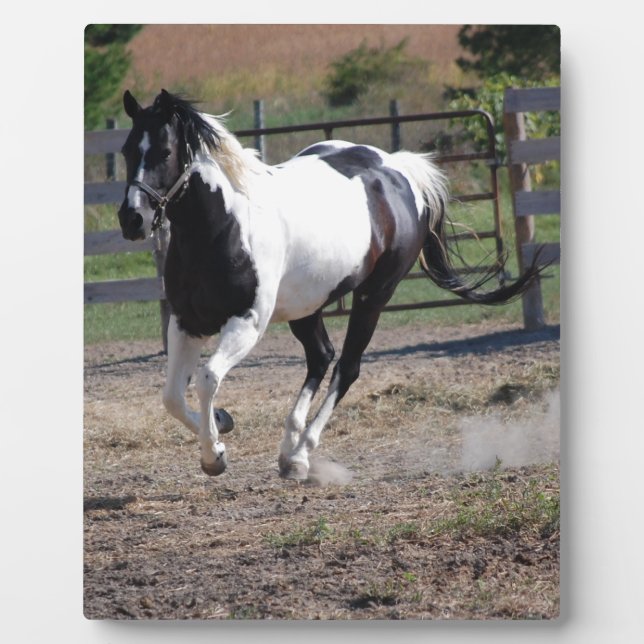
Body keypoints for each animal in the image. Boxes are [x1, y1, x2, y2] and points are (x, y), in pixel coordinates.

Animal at [117, 89, 541, 480]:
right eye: (125, 151)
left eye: (165, 151)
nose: (131, 219)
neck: (222, 227)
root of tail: (397, 169)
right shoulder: (186, 321)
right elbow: (171, 397)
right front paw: (222, 423)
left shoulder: (247, 322)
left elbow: (206, 379)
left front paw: (214, 456)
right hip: (308, 304)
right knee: (321, 356)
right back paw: (288, 449)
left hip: (373, 295)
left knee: (346, 366)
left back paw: (301, 455)